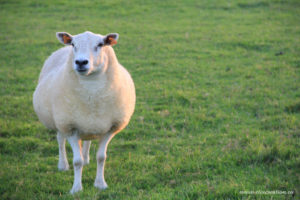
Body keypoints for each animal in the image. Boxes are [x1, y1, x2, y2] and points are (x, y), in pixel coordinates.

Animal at [33, 30, 136, 194]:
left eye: (100, 44)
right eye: (73, 44)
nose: (81, 62)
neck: (91, 88)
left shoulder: (110, 128)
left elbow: (101, 157)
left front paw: (100, 184)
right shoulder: (70, 127)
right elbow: (77, 161)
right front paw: (76, 188)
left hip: (88, 123)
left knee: (87, 140)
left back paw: (87, 159)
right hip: (60, 122)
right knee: (60, 140)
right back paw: (63, 165)